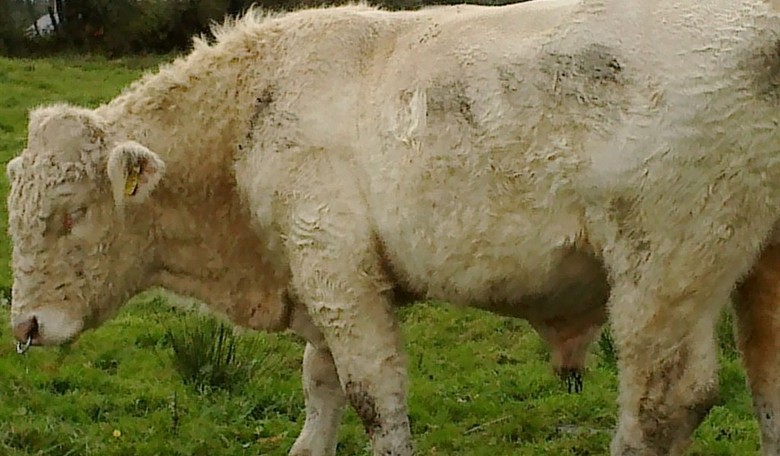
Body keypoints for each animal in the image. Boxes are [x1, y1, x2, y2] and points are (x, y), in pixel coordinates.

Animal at [5, 0, 780, 455]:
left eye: (72, 214)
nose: (27, 326)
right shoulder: (316, 279)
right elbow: (321, 384)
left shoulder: (337, 269)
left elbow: (372, 395)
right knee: (767, 386)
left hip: (665, 272)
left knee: (661, 405)